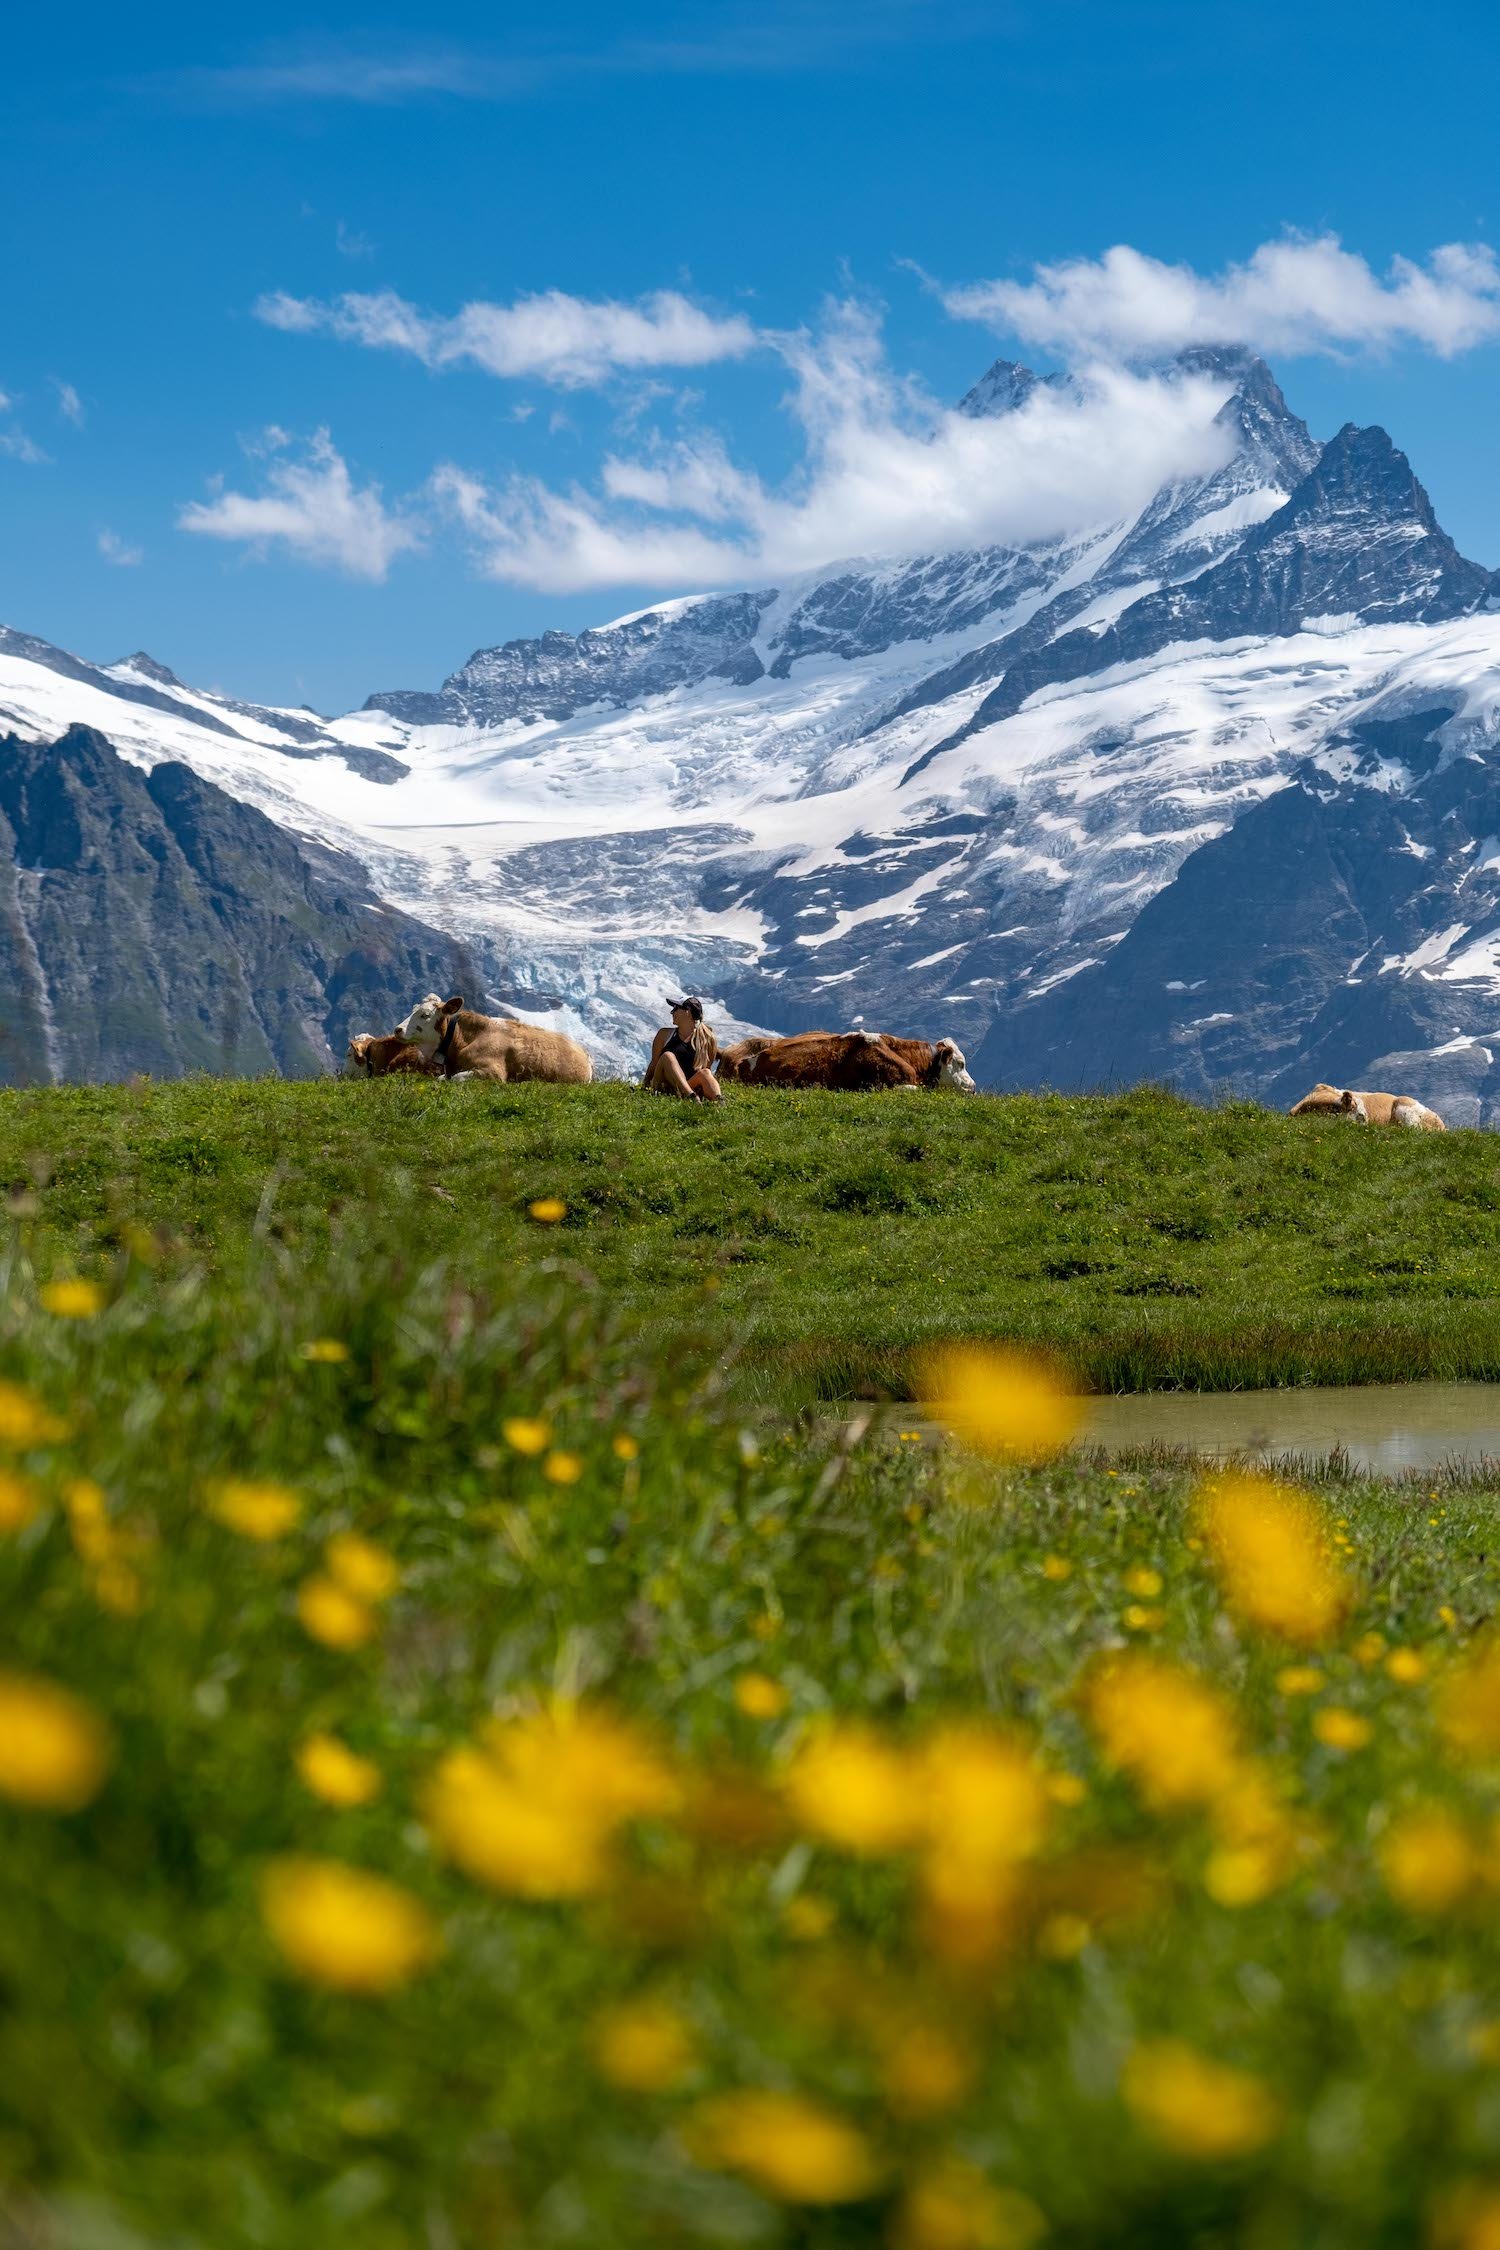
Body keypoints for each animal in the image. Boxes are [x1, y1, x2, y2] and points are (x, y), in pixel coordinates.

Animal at [402, 990, 593, 1084]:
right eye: (413, 1009)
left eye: (425, 1015)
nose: (398, 1029)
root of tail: (585, 1053)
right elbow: (443, 1078)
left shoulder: (493, 1072)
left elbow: (456, 1079)